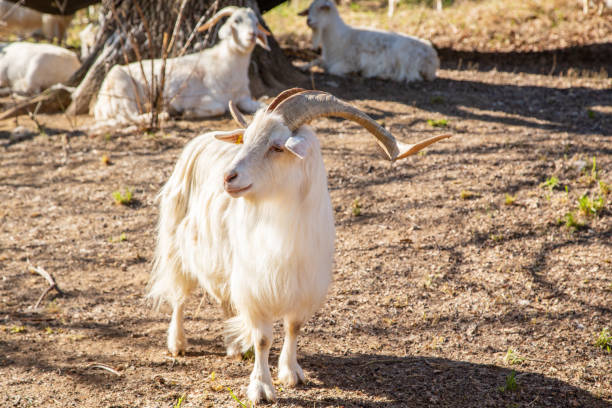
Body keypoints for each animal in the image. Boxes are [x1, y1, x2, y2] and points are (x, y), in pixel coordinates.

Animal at [148, 87, 450, 404]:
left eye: (277, 147)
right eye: (248, 138)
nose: (228, 178)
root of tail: (201, 139)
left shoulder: (302, 285)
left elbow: (293, 327)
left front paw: (291, 372)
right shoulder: (256, 286)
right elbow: (263, 338)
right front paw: (261, 388)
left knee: (223, 298)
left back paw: (233, 346)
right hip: (176, 243)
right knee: (179, 295)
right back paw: (178, 343)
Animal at [298, 0, 438, 82]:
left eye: (322, 8)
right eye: (308, 10)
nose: (308, 21)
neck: (341, 38)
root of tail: (433, 57)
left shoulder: (350, 62)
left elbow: (334, 70)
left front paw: (353, 73)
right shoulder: (327, 59)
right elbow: (316, 60)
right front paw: (303, 67)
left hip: (404, 55)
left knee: (411, 75)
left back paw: (383, 75)